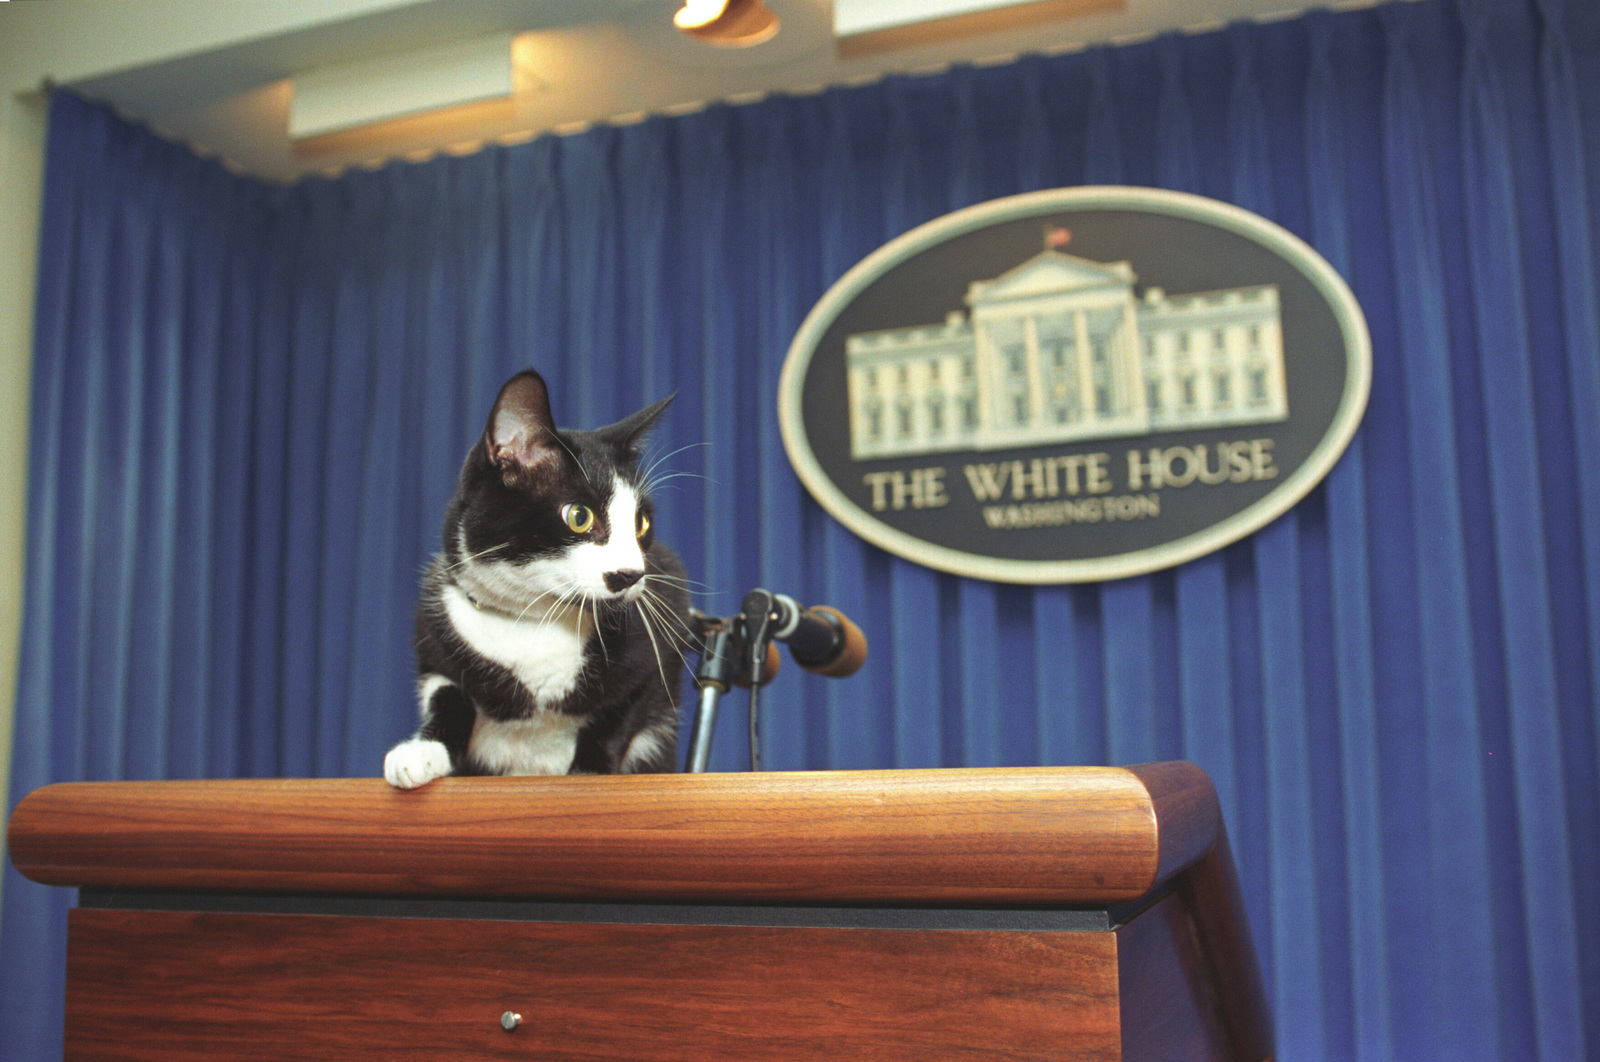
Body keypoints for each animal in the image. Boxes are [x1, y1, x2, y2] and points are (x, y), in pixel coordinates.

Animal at [387, 367, 694, 786]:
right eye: (579, 516)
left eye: (641, 523)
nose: (631, 574)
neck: (534, 620)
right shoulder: (435, 635)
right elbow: (446, 694)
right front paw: (420, 752)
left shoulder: (661, 632)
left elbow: (619, 715)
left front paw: (589, 770)